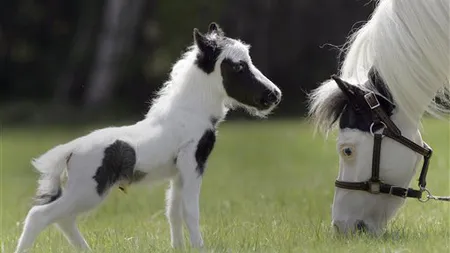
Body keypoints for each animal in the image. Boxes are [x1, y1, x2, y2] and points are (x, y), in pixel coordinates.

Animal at [14, 22, 282, 252]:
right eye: (238, 66)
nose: (274, 95)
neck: (189, 112)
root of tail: (70, 150)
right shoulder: (193, 163)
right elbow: (190, 211)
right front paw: (199, 248)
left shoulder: (178, 173)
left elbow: (173, 212)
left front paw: (178, 248)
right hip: (88, 190)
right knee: (40, 215)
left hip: (82, 191)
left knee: (63, 219)